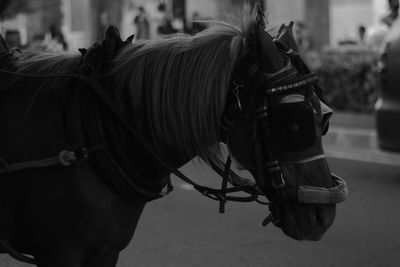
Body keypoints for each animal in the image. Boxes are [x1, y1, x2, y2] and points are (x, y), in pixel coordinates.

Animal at [0, 6, 346, 267]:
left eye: (325, 119)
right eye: (294, 124)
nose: (323, 215)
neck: (97, 130)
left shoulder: (105, 253)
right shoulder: (60, 254)